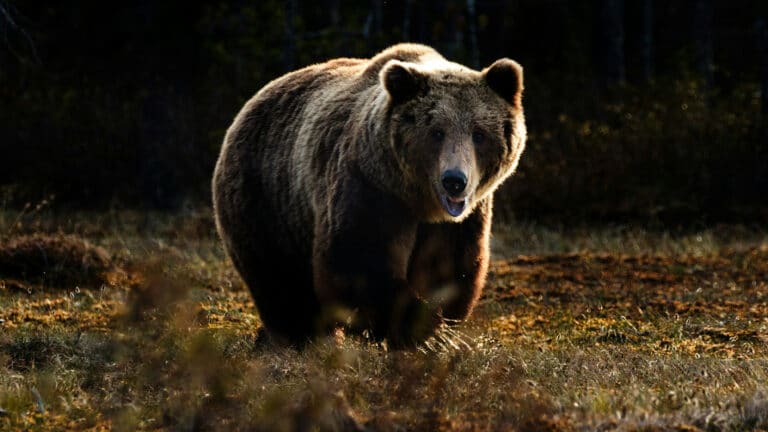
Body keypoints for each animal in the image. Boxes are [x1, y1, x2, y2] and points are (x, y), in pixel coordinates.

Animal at [212, 43, 526, 346]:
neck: (418, 200)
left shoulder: (460, 220)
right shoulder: (369, 188)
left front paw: (437, 327)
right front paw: (420, 330)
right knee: (278, 278)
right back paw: (299, 336)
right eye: (436, 132)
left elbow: (449, 267)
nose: (454, 181)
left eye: (479, 134)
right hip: (266, 197)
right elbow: (358, 259)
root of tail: (250, 104)